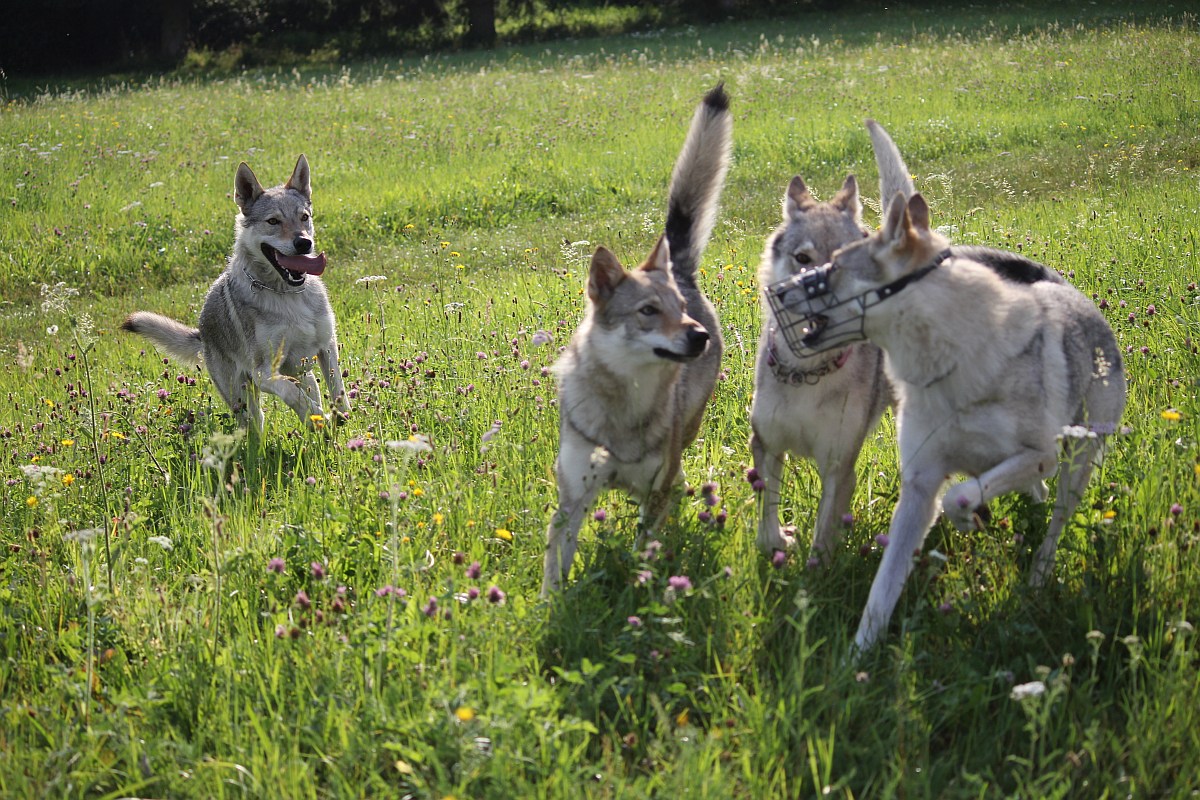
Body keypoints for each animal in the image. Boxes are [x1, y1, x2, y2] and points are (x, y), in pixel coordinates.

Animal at [122, 155, 349, 434]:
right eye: (273, 221)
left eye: (304, 217)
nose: (303, 243)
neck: (287, 295)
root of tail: (202, 333)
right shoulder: (264, 373)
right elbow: (295, 395)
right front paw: (321, 418)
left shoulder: (327, 347)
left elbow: (337, 391)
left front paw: (340, 418)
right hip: (243, 398)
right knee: (257, 425)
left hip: (300, 371)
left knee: (310, 388)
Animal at [541, 85, 731, 594]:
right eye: (648, 311)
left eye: (679, 311)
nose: (698, 336)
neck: (624, 408)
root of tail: (680, 270)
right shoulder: (572, 500)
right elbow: (555, 573)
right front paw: (552, 604)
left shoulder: (654, 492)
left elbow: (642, 549)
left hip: (686, 436)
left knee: (680, 474)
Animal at [750, 120, 1064, 561]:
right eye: (803, 259)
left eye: (844, 261)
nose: (818, 293)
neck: (808, 375)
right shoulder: (766, 445)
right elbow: (767, 521)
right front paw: (778, 543)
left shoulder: (839, 465)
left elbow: (823, 543)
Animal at [767, 188, 1126, 653]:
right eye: (804, 259)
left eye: (837, 265)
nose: (779, 292)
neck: (947, 368)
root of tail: (1063, 288)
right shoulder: (920, 483)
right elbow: (882, 590)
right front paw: (857, 656)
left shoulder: (1039, 454)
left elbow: (960, 495)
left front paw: (968, 514)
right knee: (1034, 492)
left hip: (1077, 464)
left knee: (1054, 522)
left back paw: (1037, 577)